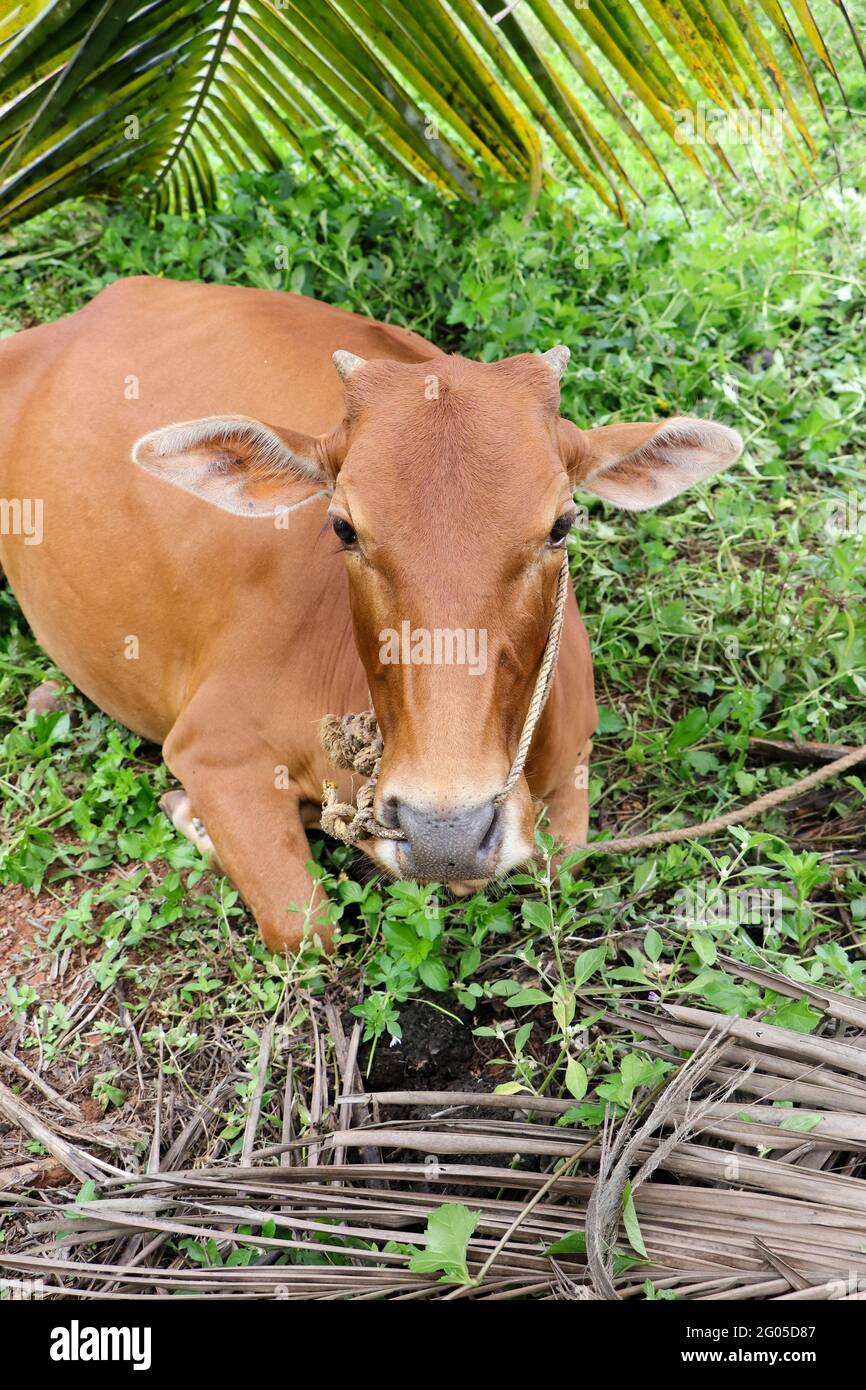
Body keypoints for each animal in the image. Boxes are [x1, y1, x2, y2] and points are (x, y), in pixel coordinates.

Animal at [0, 276, 745, 950]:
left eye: (562, 525)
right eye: (343, 527)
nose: (444, 834)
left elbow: (562, 862)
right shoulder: (212, 747)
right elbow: (307, 929)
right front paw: (196, 818)